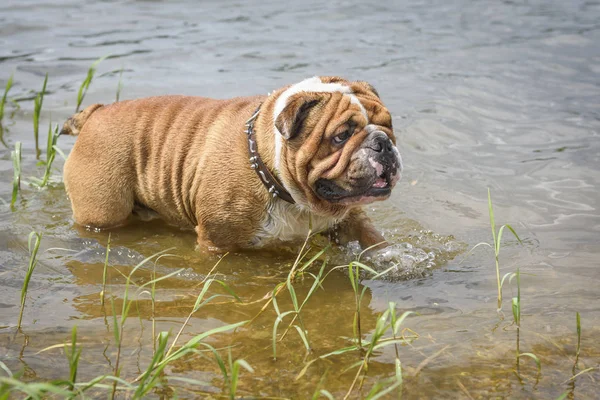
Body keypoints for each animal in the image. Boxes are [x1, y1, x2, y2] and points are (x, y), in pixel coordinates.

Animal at [62, 76, 404, 250]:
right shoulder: (217, 240)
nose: (383, 143)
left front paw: (391, 260)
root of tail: (96, 112)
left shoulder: (348, 216)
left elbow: (371, 238)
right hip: (103, 211)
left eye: (388, 126)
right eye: (341, 136)